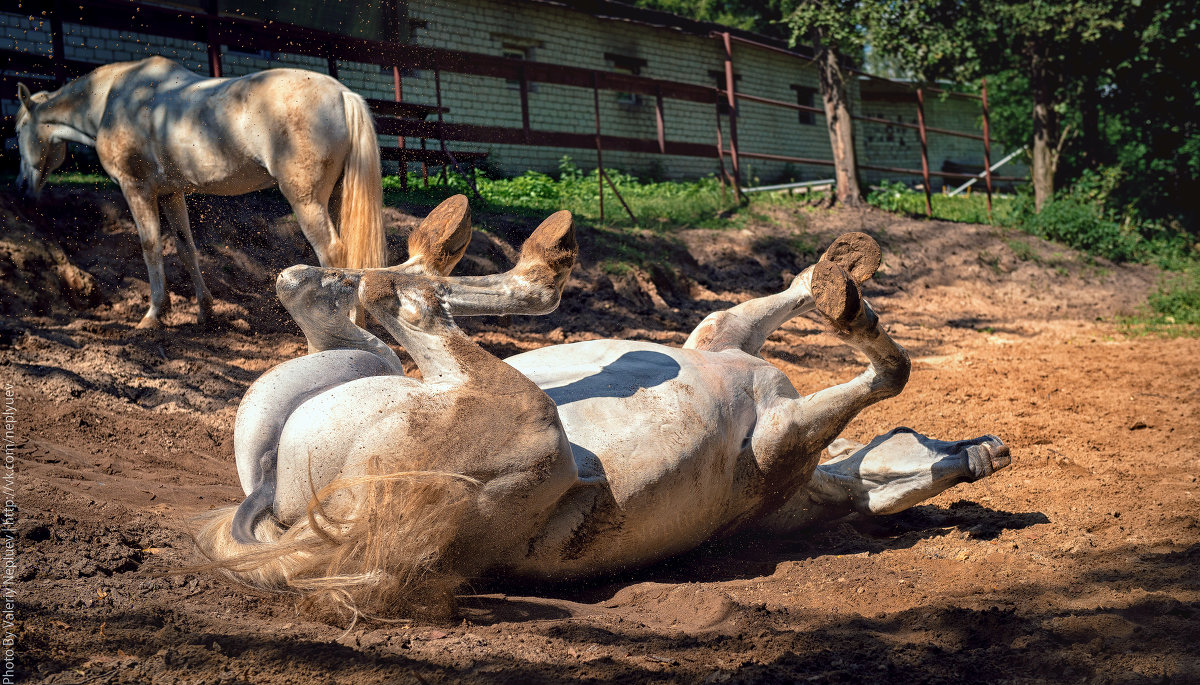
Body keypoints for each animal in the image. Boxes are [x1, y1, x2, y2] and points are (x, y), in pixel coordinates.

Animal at [15, 57, 384, 328]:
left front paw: (154, 314)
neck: (113, 100)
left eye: (18, 129)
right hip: (333, 199)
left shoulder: (137, 189)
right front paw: (205, 311)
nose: (21, 187)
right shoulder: (170, 194)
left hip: (306, 202)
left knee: (332, 252)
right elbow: (185, 248)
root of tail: (343, 94)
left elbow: (150, 246)